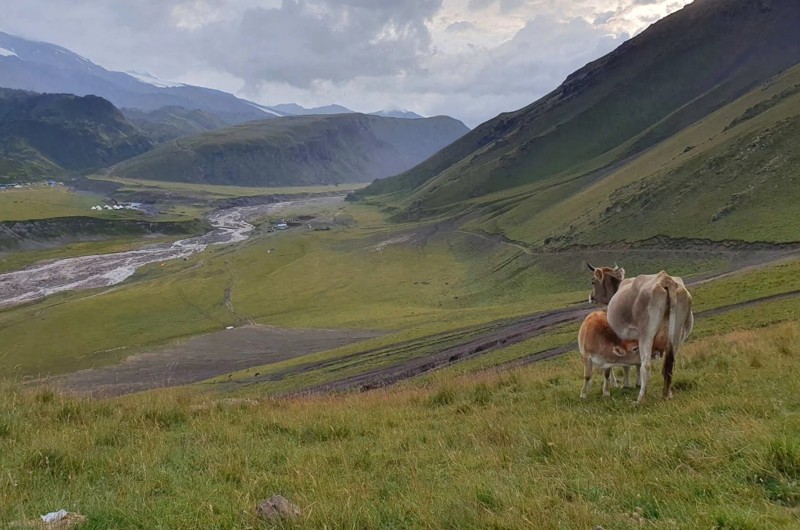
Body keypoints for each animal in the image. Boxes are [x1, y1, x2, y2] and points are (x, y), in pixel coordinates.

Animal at [588, 264, 692, 400]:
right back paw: (667, 394)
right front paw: (636, 383)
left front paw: (627, 384)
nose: (591, 297)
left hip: (646, 335)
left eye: (593, 281)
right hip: (677, 335)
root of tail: (666, 280)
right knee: (670, 363)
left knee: (646, 365)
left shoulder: (623, 340)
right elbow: (635, 362)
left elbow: (627, 364)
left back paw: (640, 398)